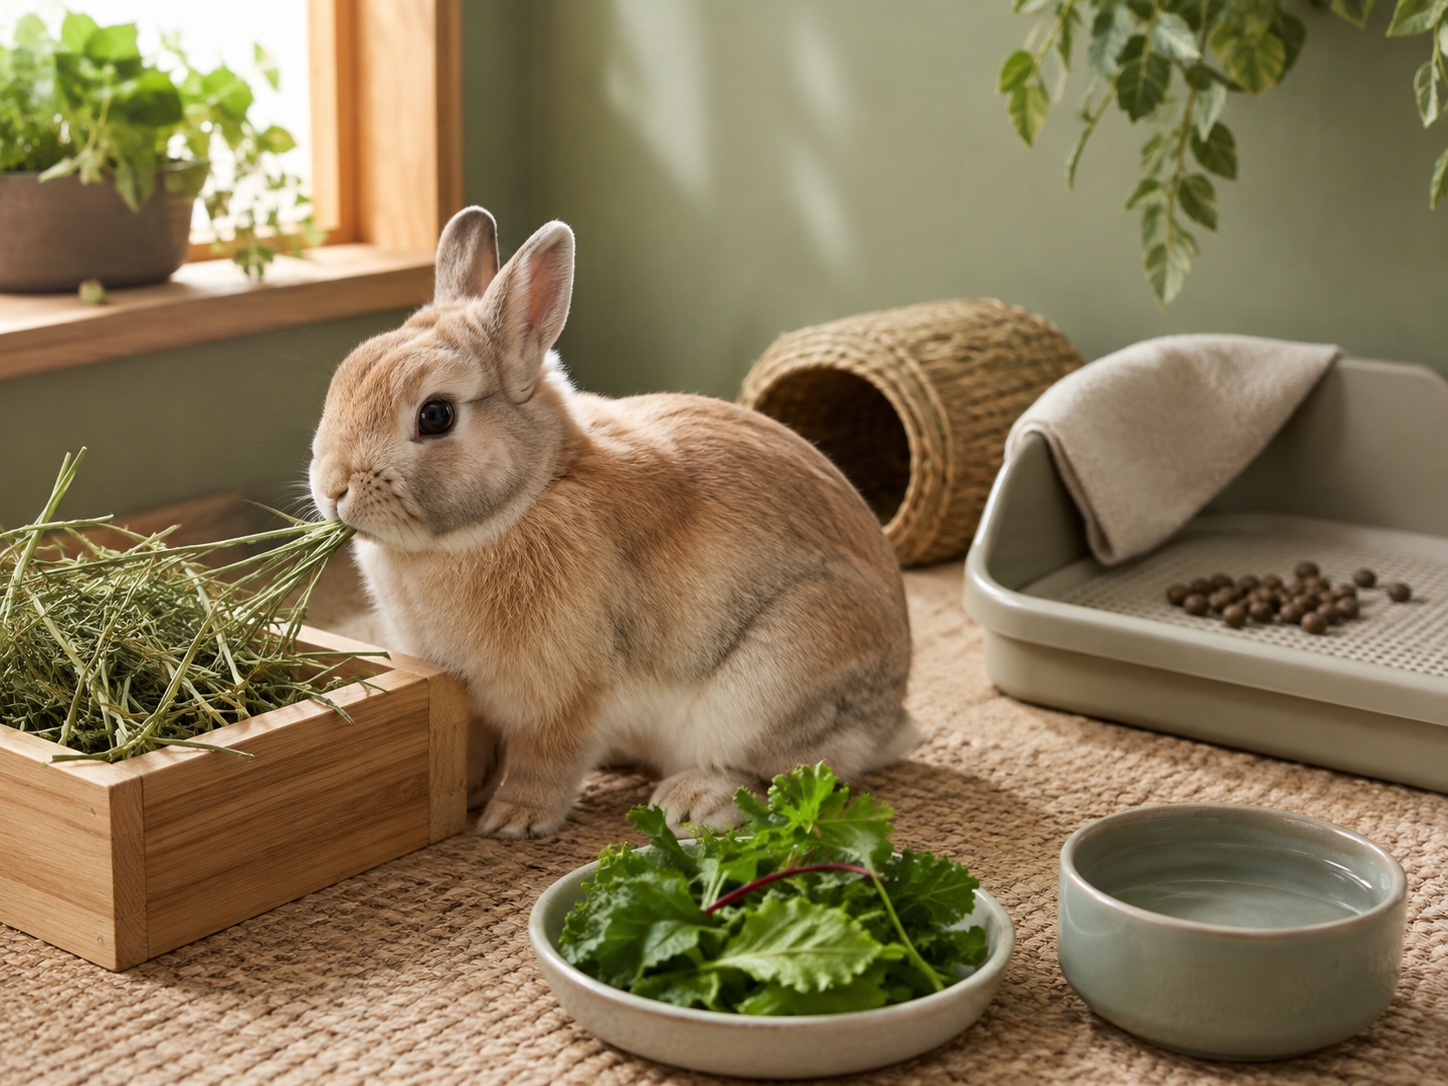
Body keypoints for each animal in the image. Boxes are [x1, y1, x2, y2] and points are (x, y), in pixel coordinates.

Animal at [309, 206, 918, 839]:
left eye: (435, 415)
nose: (333, 488)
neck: (531, 495)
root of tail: (892, 718)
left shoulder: (569, 696)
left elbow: (547, 760)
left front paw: (513, 821)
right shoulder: (468, 697)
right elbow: (472, 746)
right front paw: (467, 792)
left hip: (772, 684)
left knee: (785, 774)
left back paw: (690, 801)